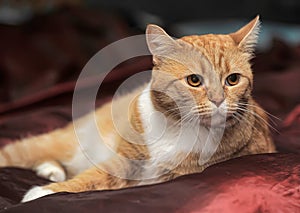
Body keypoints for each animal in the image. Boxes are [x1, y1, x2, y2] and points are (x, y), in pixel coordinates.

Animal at [0, 15, 276, 201]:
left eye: (233, 79)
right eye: (194, 81)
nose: (218, 100)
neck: (178, 126)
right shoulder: (124, 161)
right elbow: (92, 177)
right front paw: (43, 192)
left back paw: (50, 171)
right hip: (58, 143)